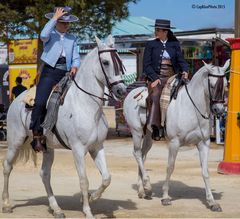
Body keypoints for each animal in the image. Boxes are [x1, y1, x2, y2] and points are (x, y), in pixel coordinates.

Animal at [2, 36, 126, 217]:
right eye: (106, 62)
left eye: (120, 61)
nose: (121, 90)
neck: (86, 105)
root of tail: (16, 100)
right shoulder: (78, 149)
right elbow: (84, 180)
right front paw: (88, 211)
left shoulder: (97, 147)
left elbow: (106, 178)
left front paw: (92, 197)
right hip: (15, 142)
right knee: (7, 167)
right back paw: (6, 204)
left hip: (47, 147)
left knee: (44, 174)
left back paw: (56, 209)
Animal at [123, 59, 230, 210]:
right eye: (212, 85)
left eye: (226, 84)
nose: (219, 110)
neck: (192, 108)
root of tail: (132, 92)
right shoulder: (174, 143)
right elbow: (170, 167)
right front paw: (165, 197)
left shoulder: (204, 144)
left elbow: (205, 172)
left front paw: (212, 201)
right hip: (136, 132)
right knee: (137, 153)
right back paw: (147, 185)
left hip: (149, 135)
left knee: (143, 156)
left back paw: (142, 190)